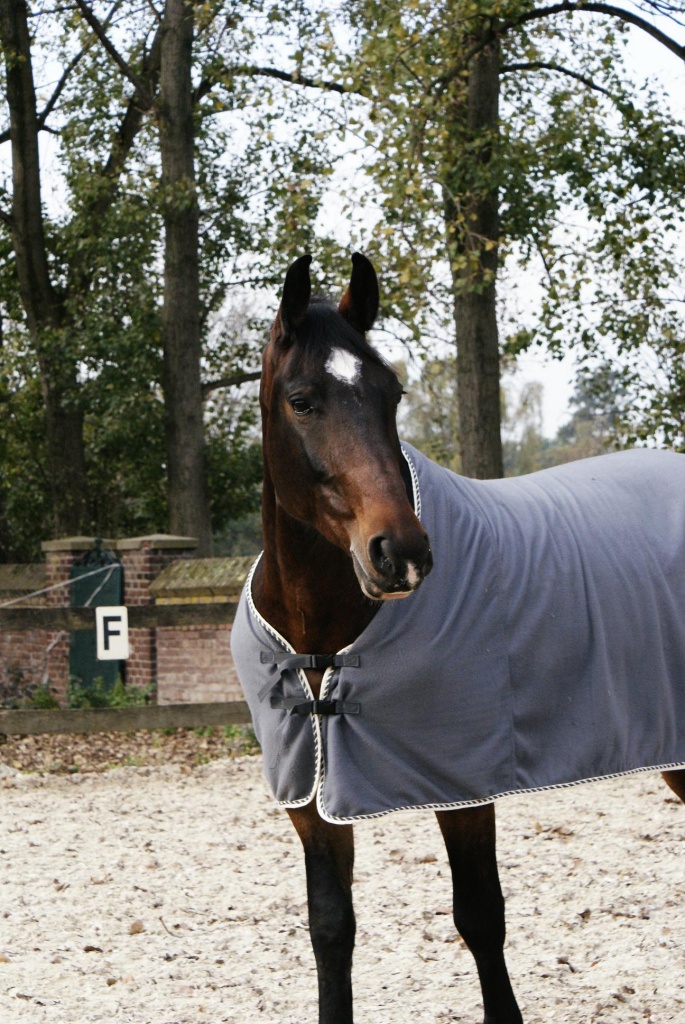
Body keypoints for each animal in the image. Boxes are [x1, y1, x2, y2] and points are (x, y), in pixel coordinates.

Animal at [231, 252, 685, 1024]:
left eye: (391, 393)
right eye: (302, 400)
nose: (401, 552)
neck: (323, 632)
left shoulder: (462, 781)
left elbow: (479, 916)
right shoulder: (312, 799)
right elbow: (331, 927)